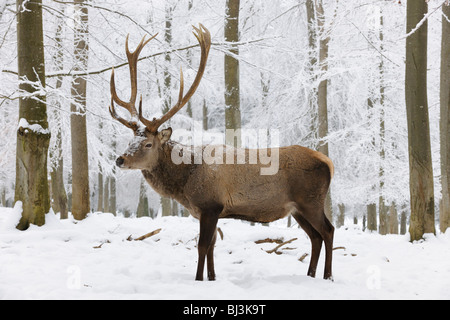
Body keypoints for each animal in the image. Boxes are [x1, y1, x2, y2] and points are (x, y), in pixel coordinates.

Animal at [108, 24, 334, 280]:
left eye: (147, 144)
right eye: (130, 139)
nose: (120, 159)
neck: (184, 184)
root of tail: (329, 162)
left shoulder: (210, 205)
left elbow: (202, 246)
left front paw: (198, 278)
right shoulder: (207, 211)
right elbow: (213, 246)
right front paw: (213, 277)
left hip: (311, 200)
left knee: (328, 231)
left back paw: (327, 275)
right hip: (296, 209)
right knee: (315, 236)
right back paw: (310, 274)